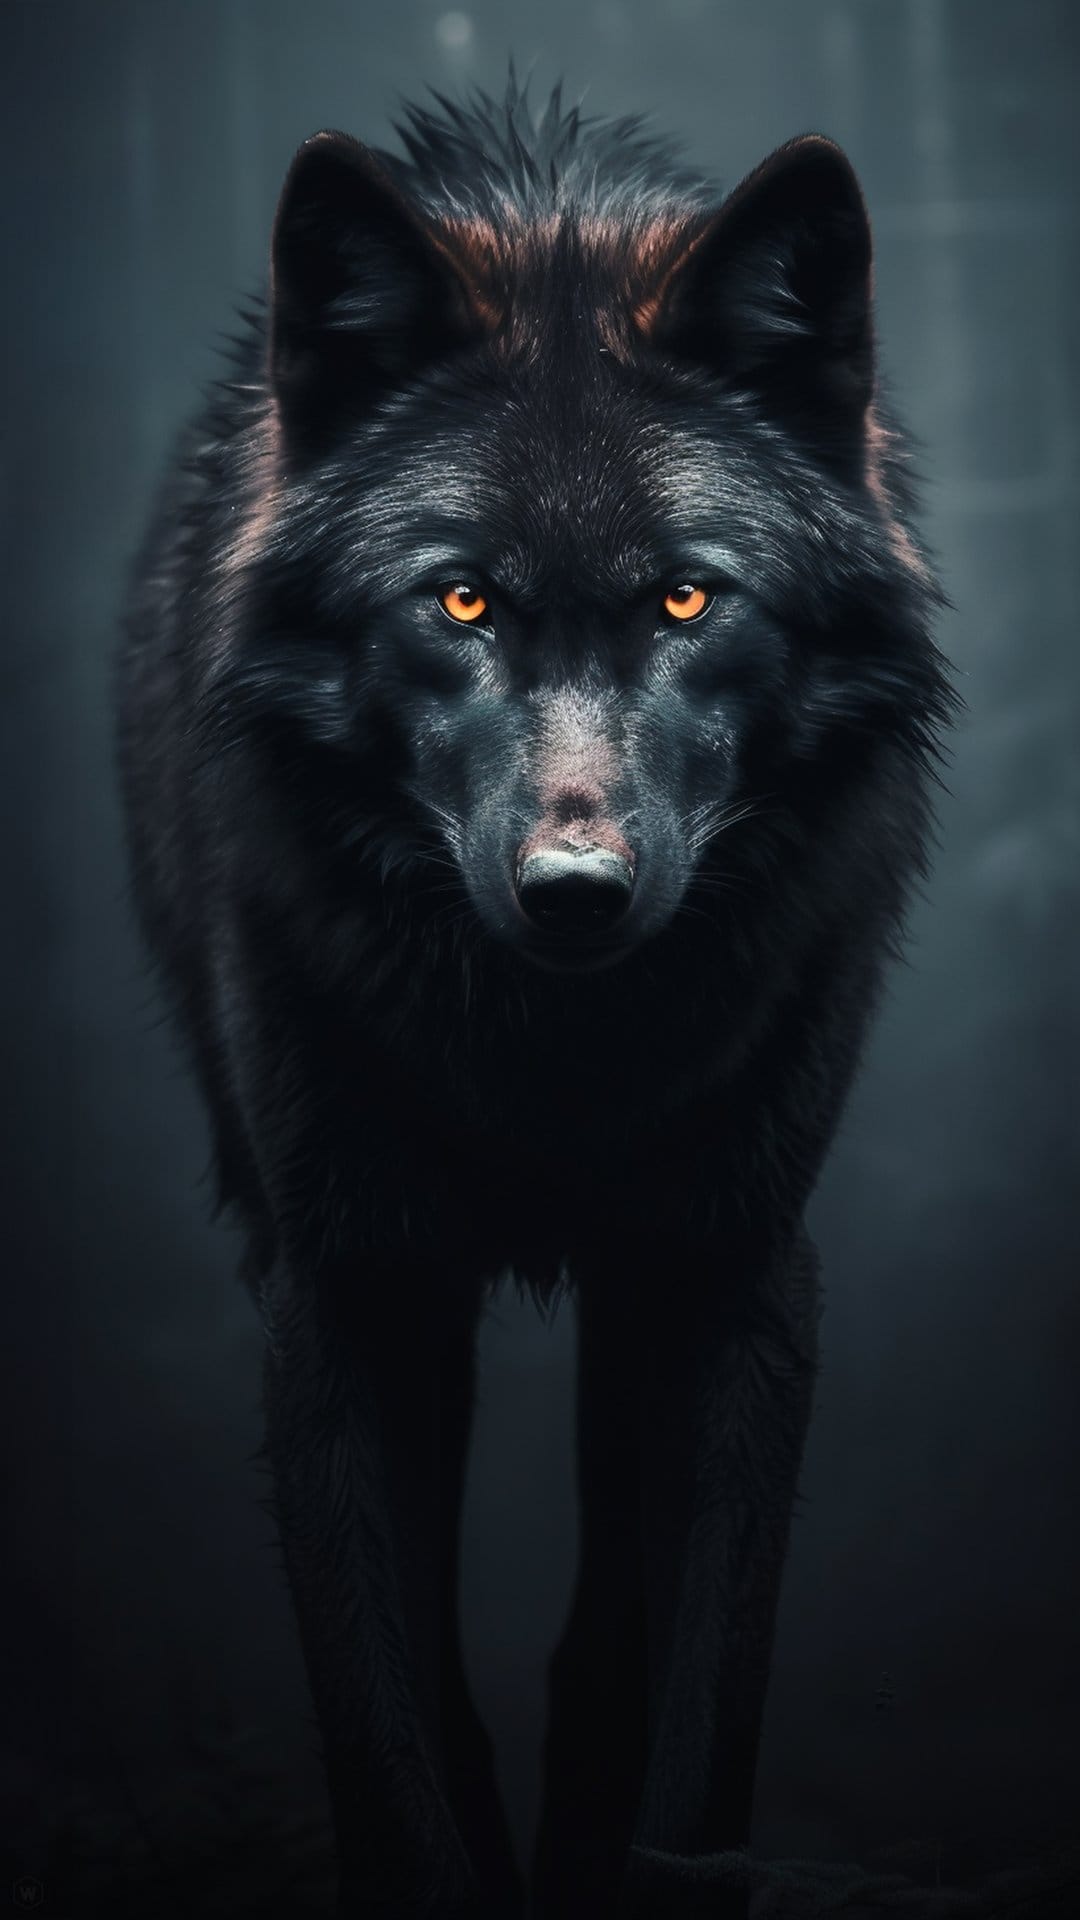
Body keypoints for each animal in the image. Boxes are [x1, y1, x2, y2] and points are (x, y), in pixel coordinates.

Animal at [115, 78, 952, 1919]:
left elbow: (697, 1709)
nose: (577, 890)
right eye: (461, 598)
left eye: (689, 596)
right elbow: (385, 1718)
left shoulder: (730, 1274)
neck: (554, 1065)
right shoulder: (344, 1288)